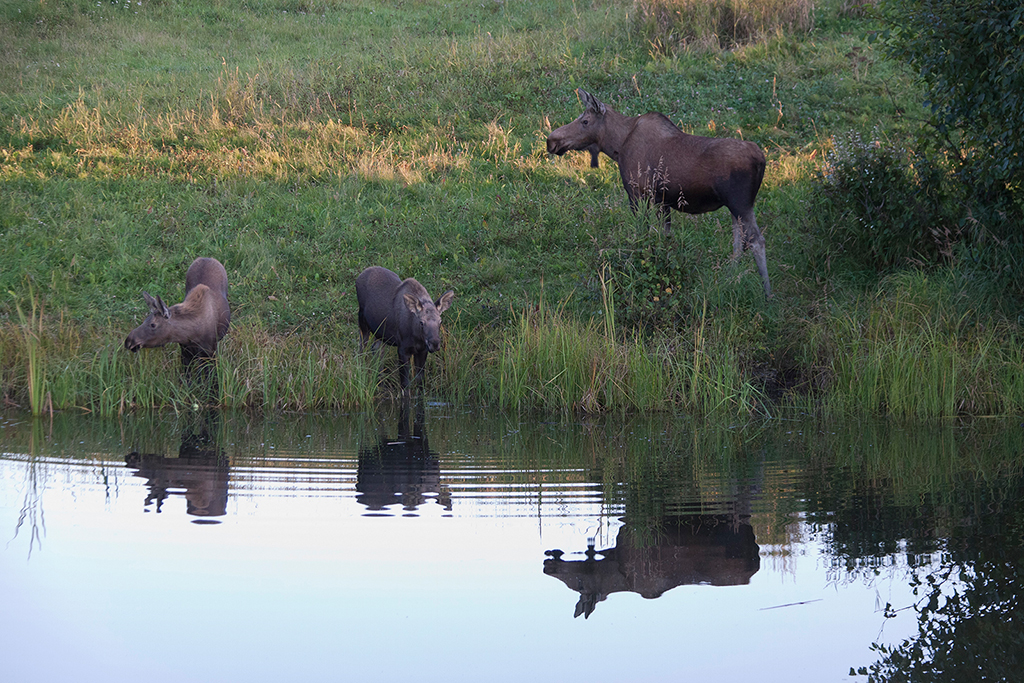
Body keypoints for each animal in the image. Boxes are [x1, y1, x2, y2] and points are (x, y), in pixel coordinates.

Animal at [548, 87, 770, 296]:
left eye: (585, 121)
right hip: (735, 207)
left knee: (756, 241)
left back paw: (767, 294)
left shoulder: (637, 193)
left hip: (740, 203)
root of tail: (761, 159)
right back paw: (730, 277)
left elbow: (642, 235)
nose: (551, 141)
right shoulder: (663, 201)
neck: (617, 145)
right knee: (739, 242)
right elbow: (666, 237)